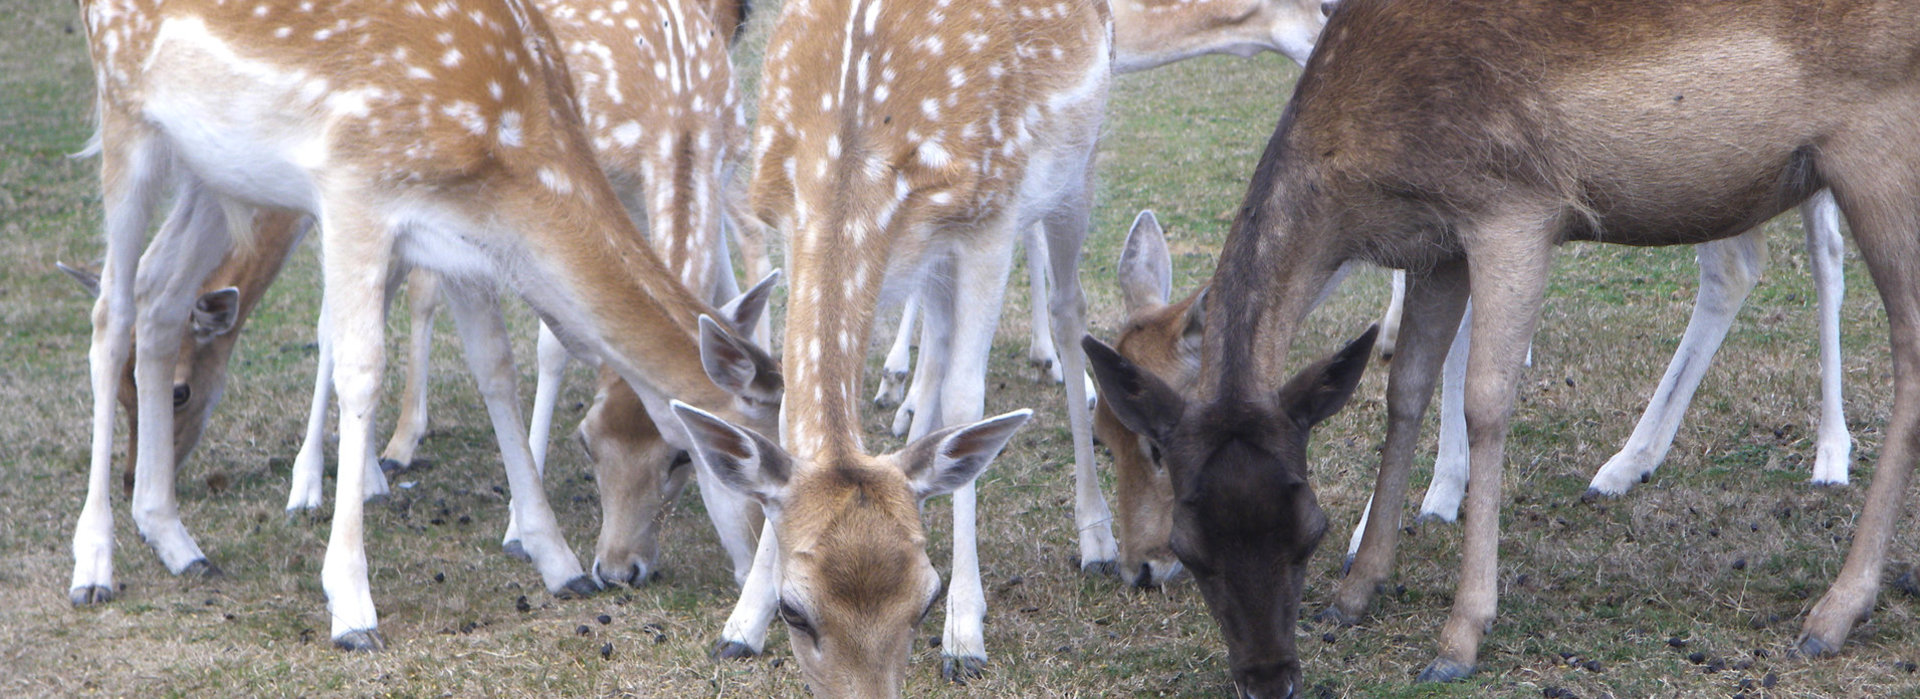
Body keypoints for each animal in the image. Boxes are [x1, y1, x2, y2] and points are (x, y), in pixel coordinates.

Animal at [69, 0, 779, 649]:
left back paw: (174, 538)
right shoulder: (352, 190)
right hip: (127, 117)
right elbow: (360, 367)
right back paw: (94, 564)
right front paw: (352, 606)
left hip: (215, 174)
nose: (756, 566)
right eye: (711, 456)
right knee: (112, 314)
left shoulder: (463, 237)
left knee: (160, 295)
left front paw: (557, 562)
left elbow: (497, 369)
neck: (508, 142)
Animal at [668, 0, 1113, 691]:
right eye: (795, 610)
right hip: (932, 254)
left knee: (1069, 315)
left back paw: (1097, 539)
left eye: (925, 600)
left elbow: (965, 403)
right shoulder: (792, 219)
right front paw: (740, 624)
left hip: (1076, 170)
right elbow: (794, 416)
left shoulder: (991, 219)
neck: (851, 138)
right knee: (940, 333)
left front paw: (965, 632)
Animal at [1090, 0, 1920, 691]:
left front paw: (1459, 635)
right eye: (1194, 545)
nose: (1268, 677)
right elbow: (1406, 389)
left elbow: (1485, 400)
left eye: (1308, 530)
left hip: (1876, 151)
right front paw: (1357, 590)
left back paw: (1833, 607)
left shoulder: (1512, 208)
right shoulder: (1435, 247)